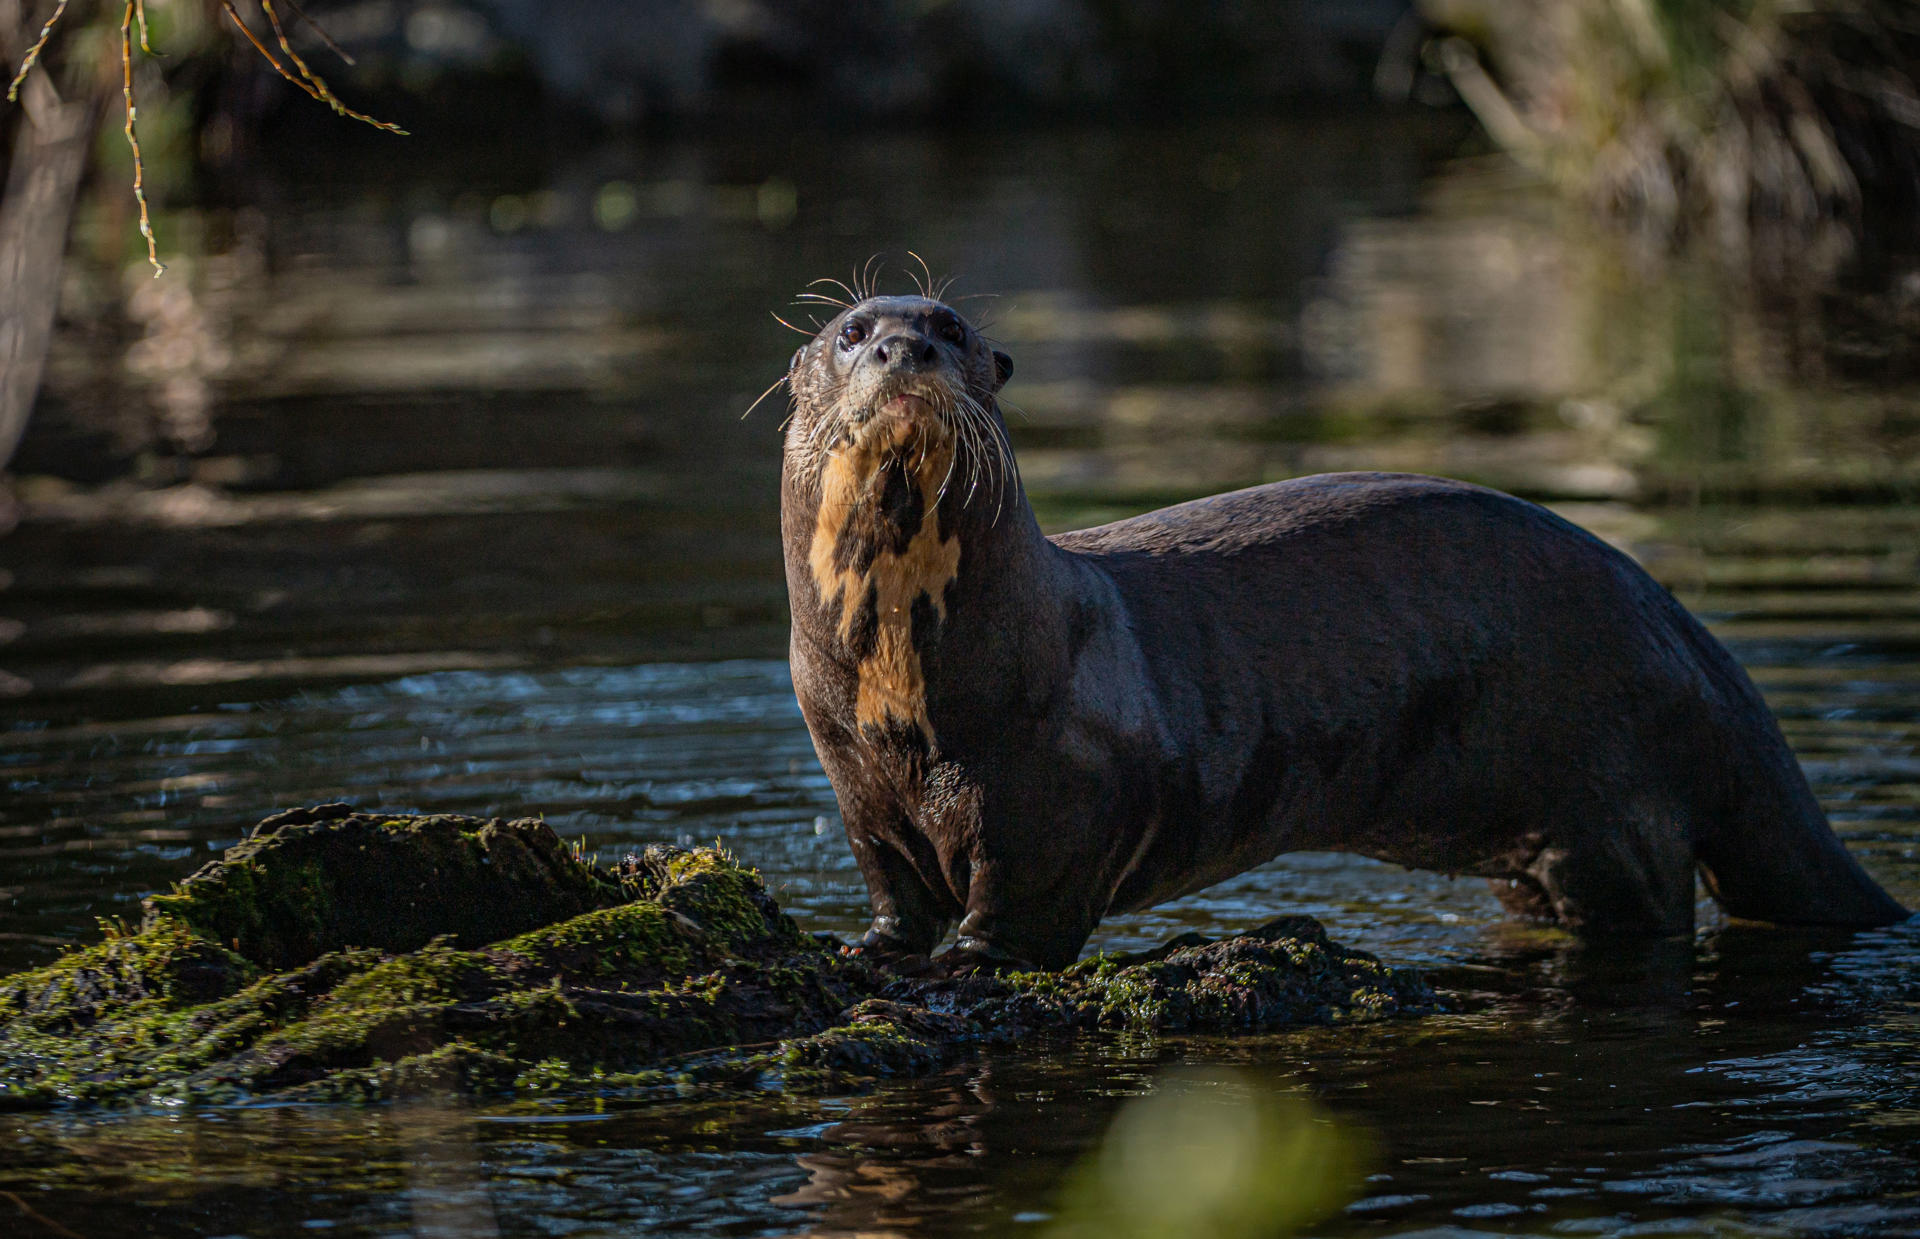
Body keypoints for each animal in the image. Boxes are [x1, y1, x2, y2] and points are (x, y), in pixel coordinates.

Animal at [777, 291, 1908, 970]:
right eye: (850, 333)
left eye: (954, 328)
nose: (905, 346)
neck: (910, 695)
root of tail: (1691, 643)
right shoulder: (849, 773)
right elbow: (890, 884)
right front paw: (870, 951)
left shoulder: (1061, 787)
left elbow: (1020, 898)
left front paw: (973, 961)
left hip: (1615, 799)